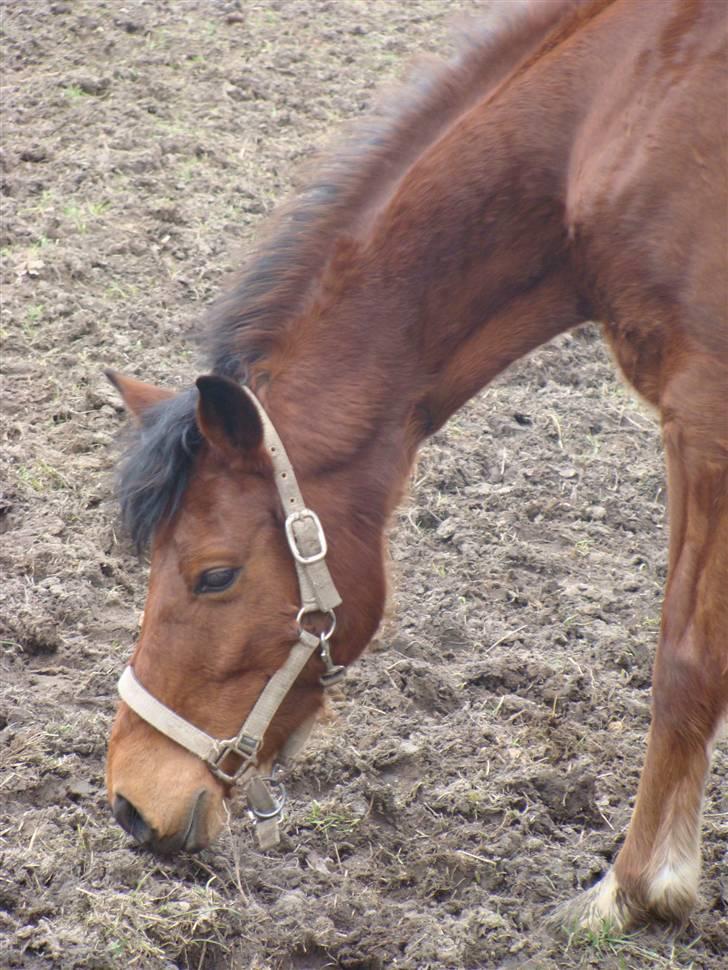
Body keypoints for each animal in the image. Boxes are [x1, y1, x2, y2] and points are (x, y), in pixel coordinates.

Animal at [106, 0, 728, 932]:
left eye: (214, 576)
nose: (127, 803)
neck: (615, 110)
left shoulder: (703, 412)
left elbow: (684, 660)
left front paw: (637, 884)